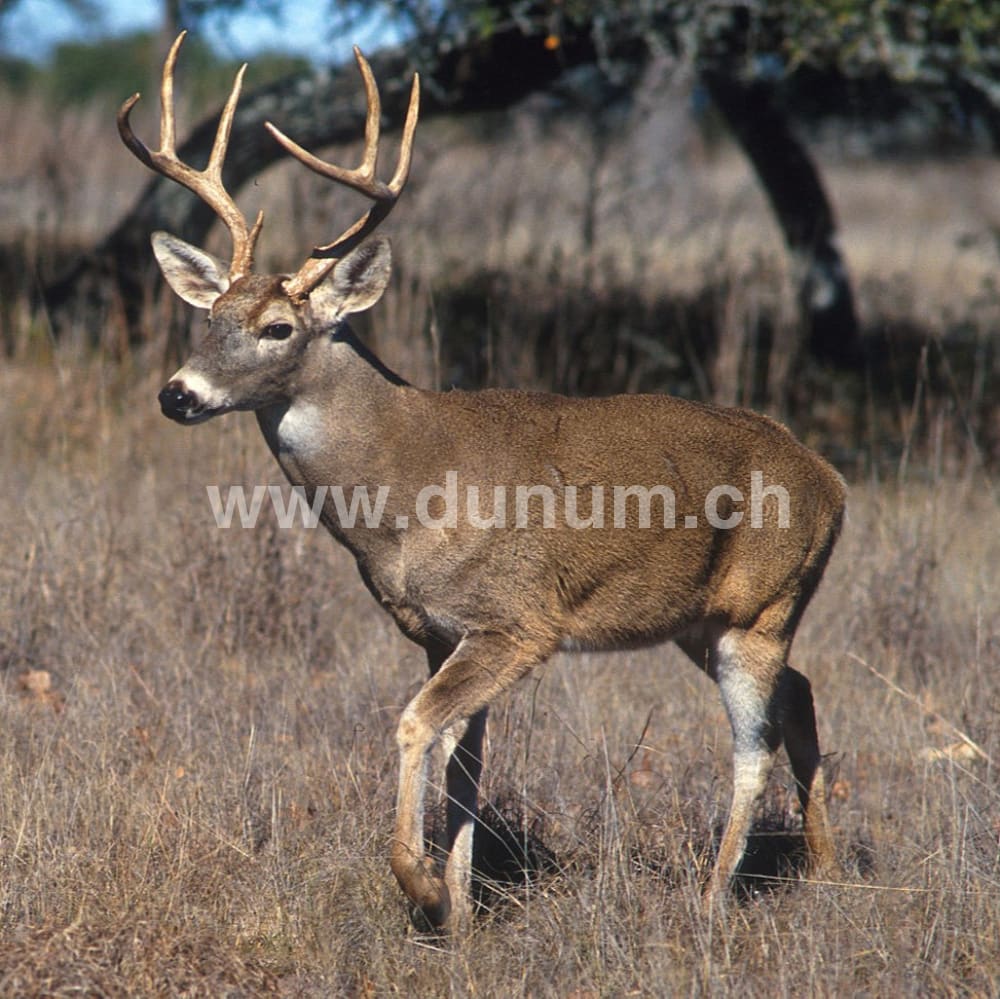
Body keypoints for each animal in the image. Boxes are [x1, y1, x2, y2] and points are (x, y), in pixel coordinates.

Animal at [120, 33, 846, 933]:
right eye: (209, 317)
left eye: (278, 326)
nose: (177, 394)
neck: (408, 485)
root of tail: (832, 481)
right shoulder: (440, 629)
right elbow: (464, 761)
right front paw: (463, 909)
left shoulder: (517, 620)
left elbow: (414, 725)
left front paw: (423, 886)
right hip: (703, 618)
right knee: (802, 694)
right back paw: (823, 870)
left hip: (760, 606)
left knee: (755, 742)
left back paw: (712, 899)